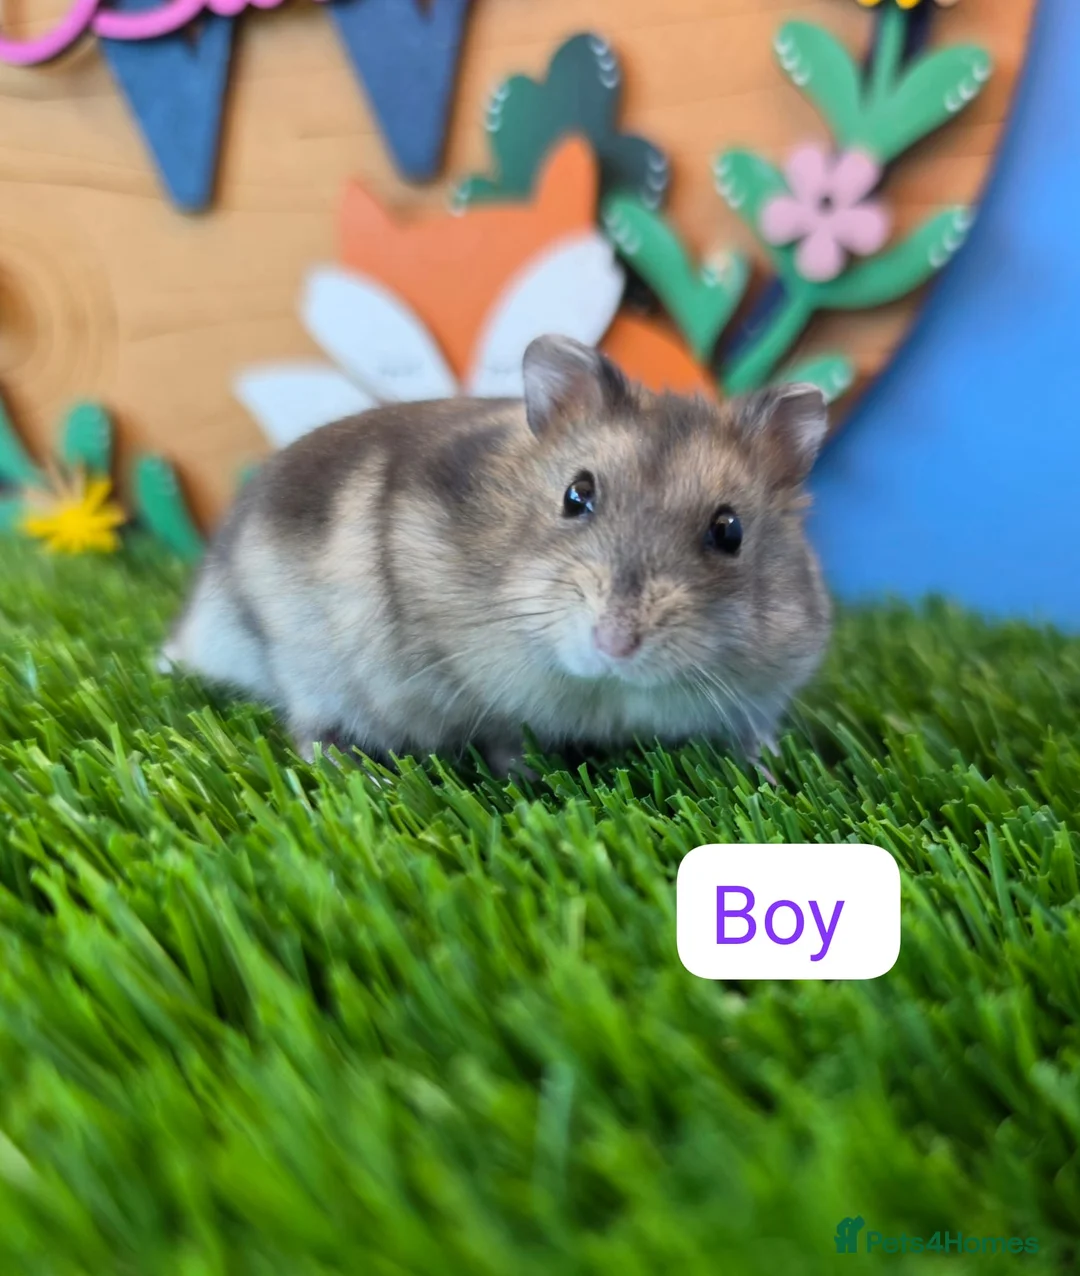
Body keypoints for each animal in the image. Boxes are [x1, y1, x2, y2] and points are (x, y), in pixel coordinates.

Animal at [162, 335, 832, 775]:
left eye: (729, 531)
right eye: (576, 495)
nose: (614, 645)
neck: (606, 691)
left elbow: (756, 736)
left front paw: (772, 773)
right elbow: (505, 738)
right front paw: (530, 777)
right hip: (308, 666)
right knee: (310, 733)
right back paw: (363, 777)